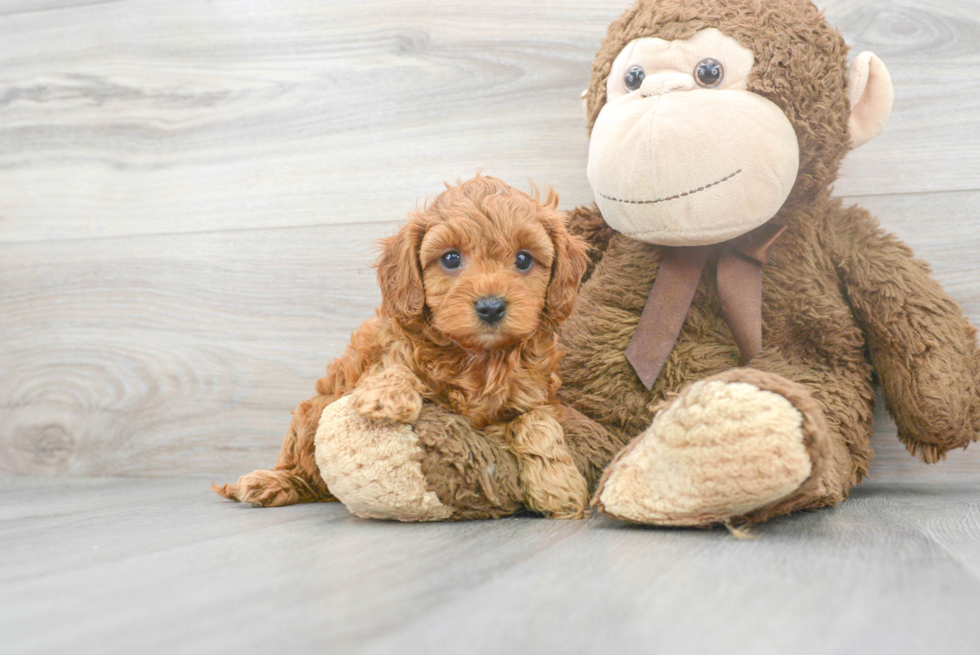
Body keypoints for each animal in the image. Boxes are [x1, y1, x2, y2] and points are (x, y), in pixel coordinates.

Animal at [216, 177, 588, 520]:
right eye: (451, 258)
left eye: (523, 260)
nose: (491, 307)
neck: (479, 357)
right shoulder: (386, 351)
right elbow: (394, 365)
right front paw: (387, 397)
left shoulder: (535, 395)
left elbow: (538, 422)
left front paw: (559, 485)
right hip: (309, 417)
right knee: (301, 466)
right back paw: (271, 482)